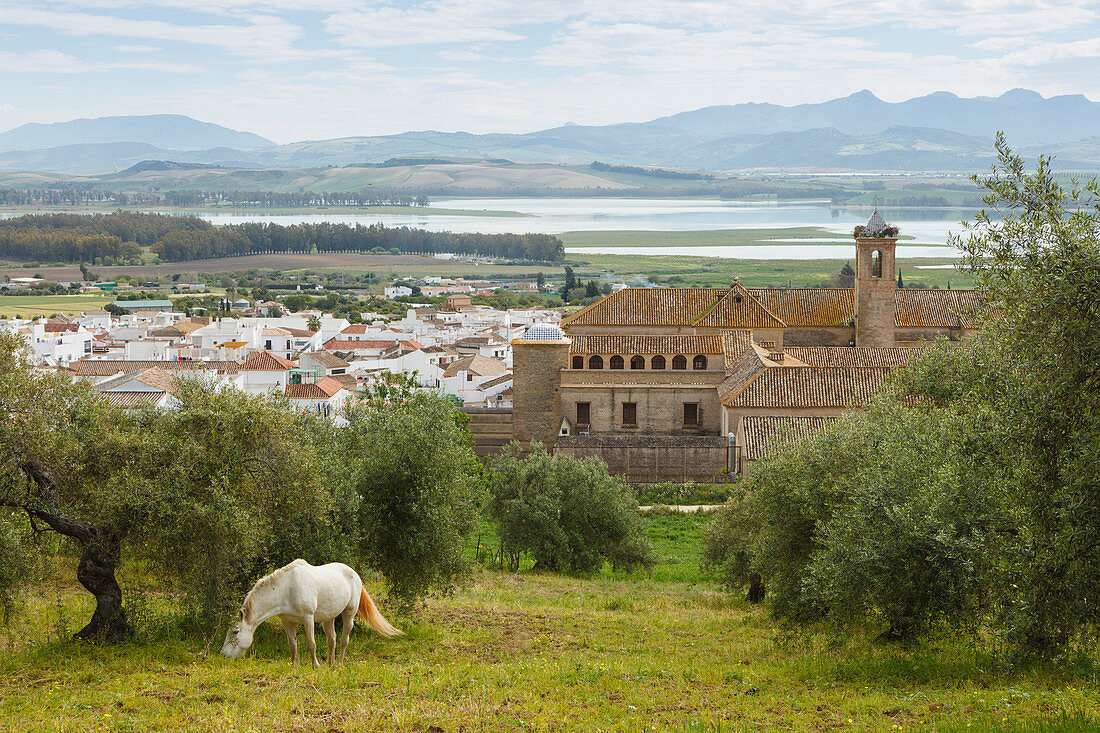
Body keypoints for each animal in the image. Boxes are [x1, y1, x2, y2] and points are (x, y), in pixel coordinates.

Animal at [220, 556, 404, 664]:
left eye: (235, 632)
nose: (223, 655)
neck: (286, 589)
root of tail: (354, 573)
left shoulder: (308, 619)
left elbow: (311, 644)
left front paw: (315, 666)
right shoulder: (287, 622)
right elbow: (292, 645)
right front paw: (295, 666)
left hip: (349, 614)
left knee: (344, 640)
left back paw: (339, 664)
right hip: (328, 618)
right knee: (332, 640)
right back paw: (330, 665)